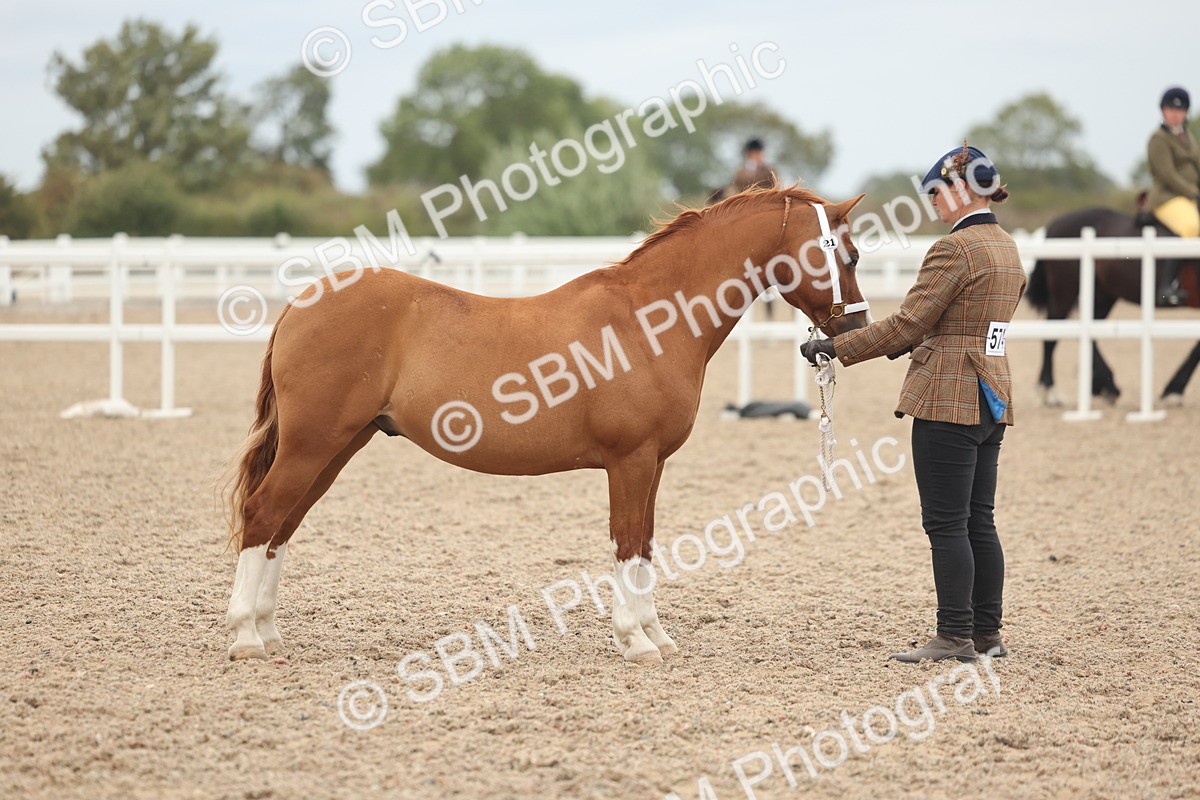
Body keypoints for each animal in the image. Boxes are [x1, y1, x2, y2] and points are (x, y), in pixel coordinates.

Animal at [222, 186, 870, 665]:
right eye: (850, 255)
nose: (853, 329)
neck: (649, 318)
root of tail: (302, 303)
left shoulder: (654, 463)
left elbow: (646, 544)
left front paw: (656, 635)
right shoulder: (630, 460)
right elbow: (626, 542)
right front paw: (635, 641)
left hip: (334, 448)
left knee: (282, 526)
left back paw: (269, 632)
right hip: (313, 445)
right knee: (263, 514)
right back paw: (245, 637)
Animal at [1026, 207, 1200, 407]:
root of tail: (1055, 224)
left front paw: (1173, 390)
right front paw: (1174, 391)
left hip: (1103, 296)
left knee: (1085, 333)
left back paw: (1104, 386)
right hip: (1066, 291)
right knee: (1052, 335)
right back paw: (1050, 389)